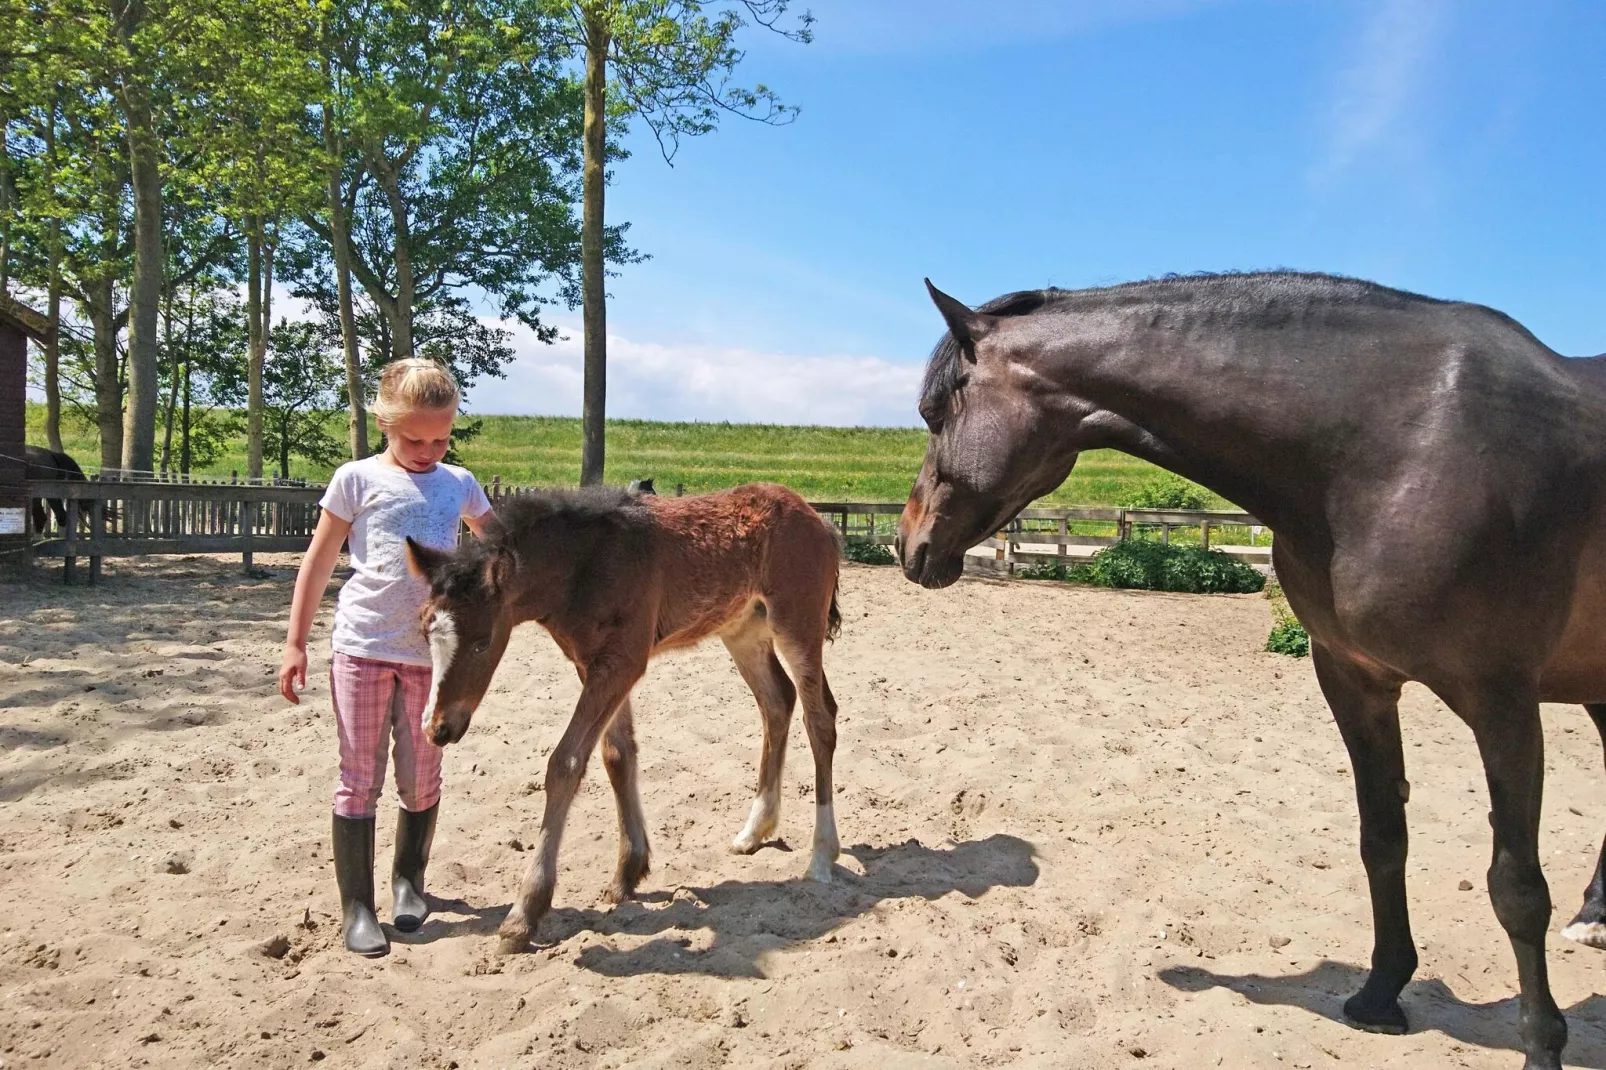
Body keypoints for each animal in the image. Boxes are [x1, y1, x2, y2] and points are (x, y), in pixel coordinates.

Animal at [899, 273, 1606, 1066]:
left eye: (934, 413)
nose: (905, 542)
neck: (1394, 447)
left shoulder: (1502, 699)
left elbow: (1517, 886)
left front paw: (1542, 1044)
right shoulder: (1354, 681)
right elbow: (1382, 838)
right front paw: (1380, 995)